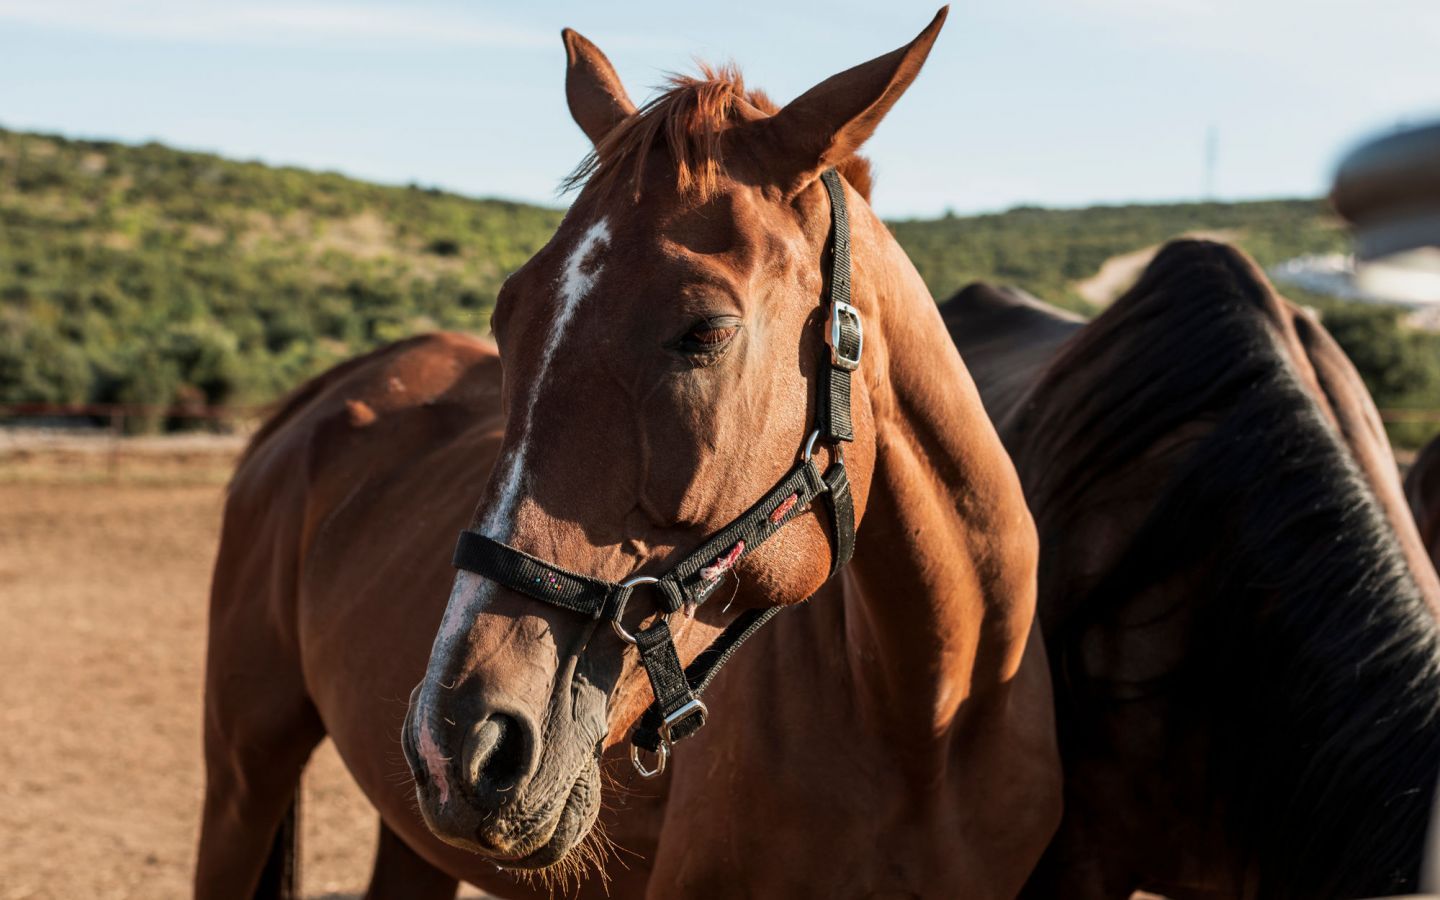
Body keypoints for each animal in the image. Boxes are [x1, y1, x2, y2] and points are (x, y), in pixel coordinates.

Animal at [197, 8, 1065, 898]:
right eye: (509, 315)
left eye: (706, 332)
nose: (463, 740)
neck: (927, 718)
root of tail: (327, 391)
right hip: (242, 775)